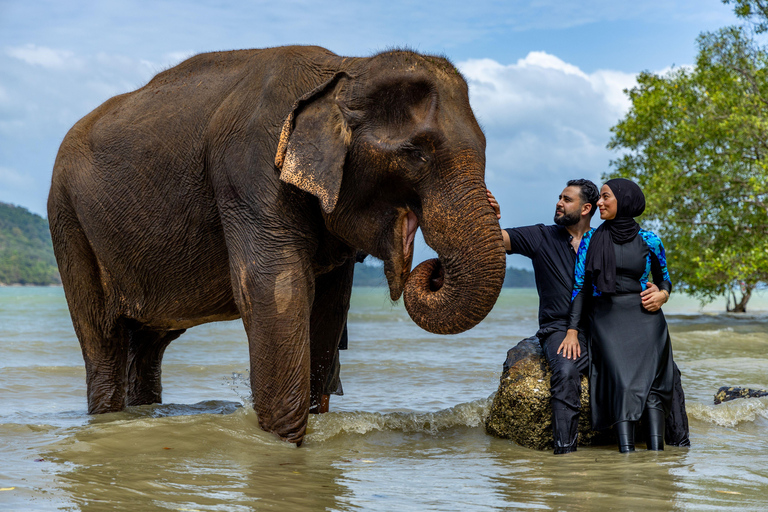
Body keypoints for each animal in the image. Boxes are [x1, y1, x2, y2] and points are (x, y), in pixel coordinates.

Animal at [47, 45, 506, 445]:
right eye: (416, 154)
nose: (434, 269)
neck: (344, 69)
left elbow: (330, 308)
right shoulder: (250, 172)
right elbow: (275, 293)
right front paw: (282, 446)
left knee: (148, 346)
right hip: (69, 222)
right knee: (103, 340)